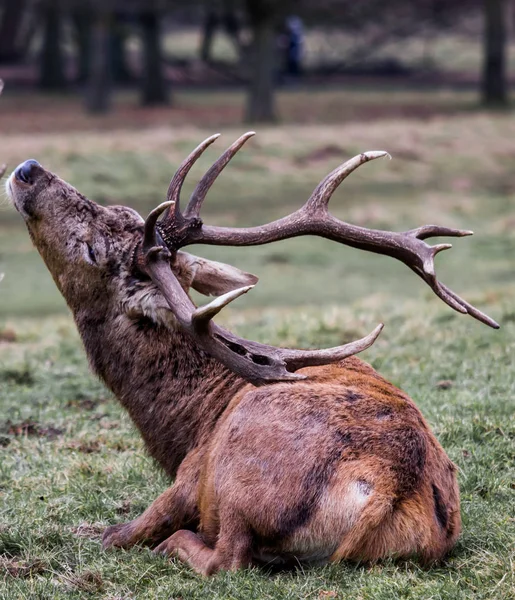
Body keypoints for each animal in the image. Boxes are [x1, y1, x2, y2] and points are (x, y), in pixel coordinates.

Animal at [5, 134, 500, 576]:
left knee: (226, 560)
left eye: (92, 250)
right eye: (120, 208)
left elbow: (119, 534)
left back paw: (176, 544)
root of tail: (389, 487)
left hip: (239, 475)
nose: (28, 169)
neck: (178, 425)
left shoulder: (191, 475)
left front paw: (101, 532)